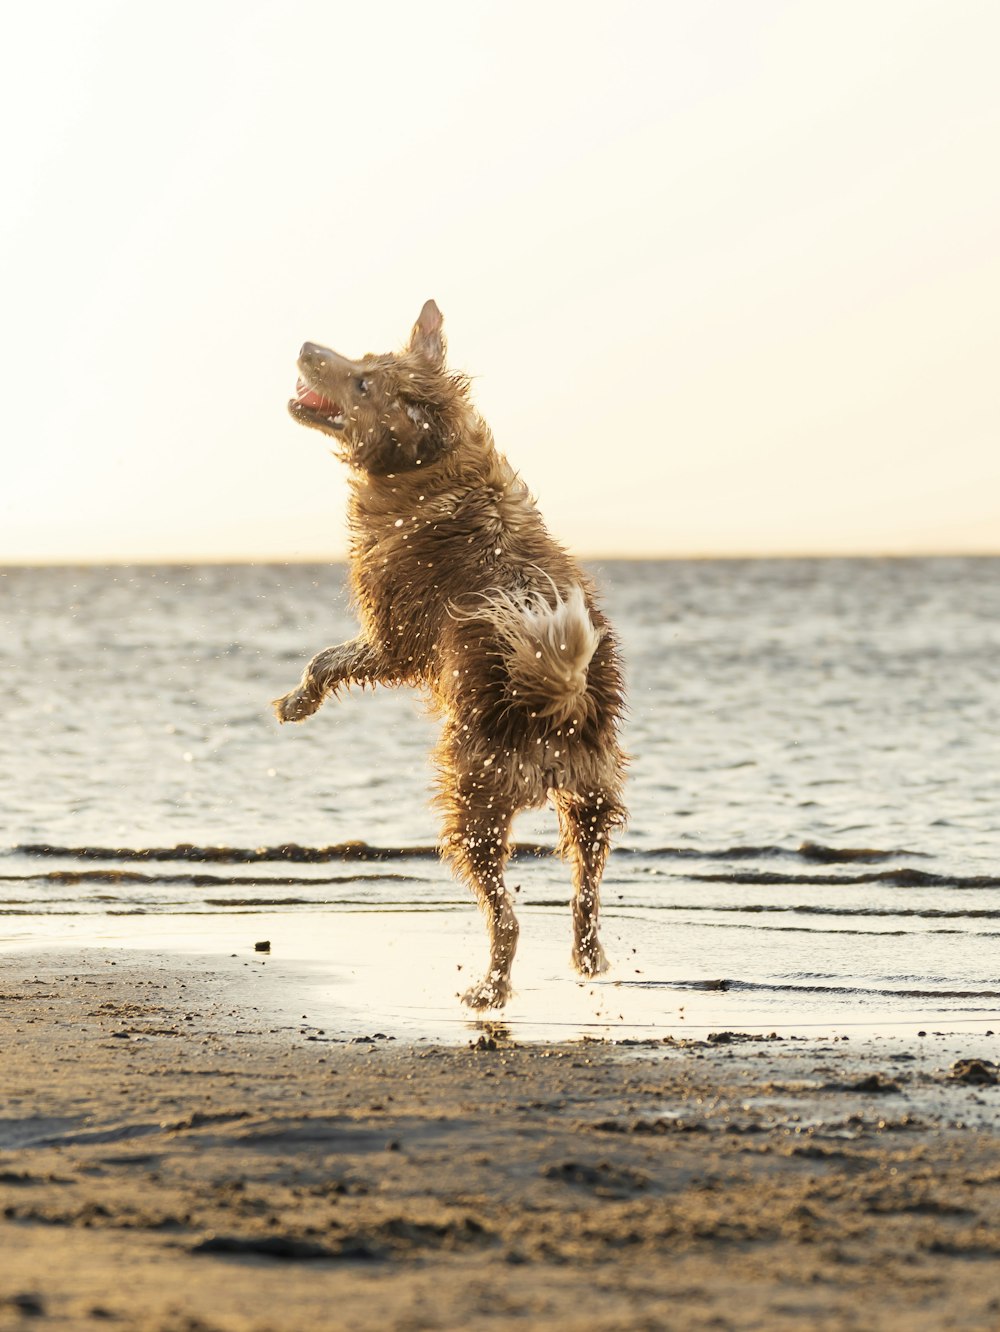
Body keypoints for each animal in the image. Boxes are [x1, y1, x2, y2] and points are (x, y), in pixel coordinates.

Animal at [274, 302, 625, 1006]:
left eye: (362, 384)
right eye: (362, 359)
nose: (305, 345)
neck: (427, 469)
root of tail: (559, 702)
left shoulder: (392, 639)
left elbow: (326, 660)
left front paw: (297, 701)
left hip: (472, 802)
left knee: (505, 914)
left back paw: (489, 988)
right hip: (591, 798)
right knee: (585, 890)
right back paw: (588, 958)